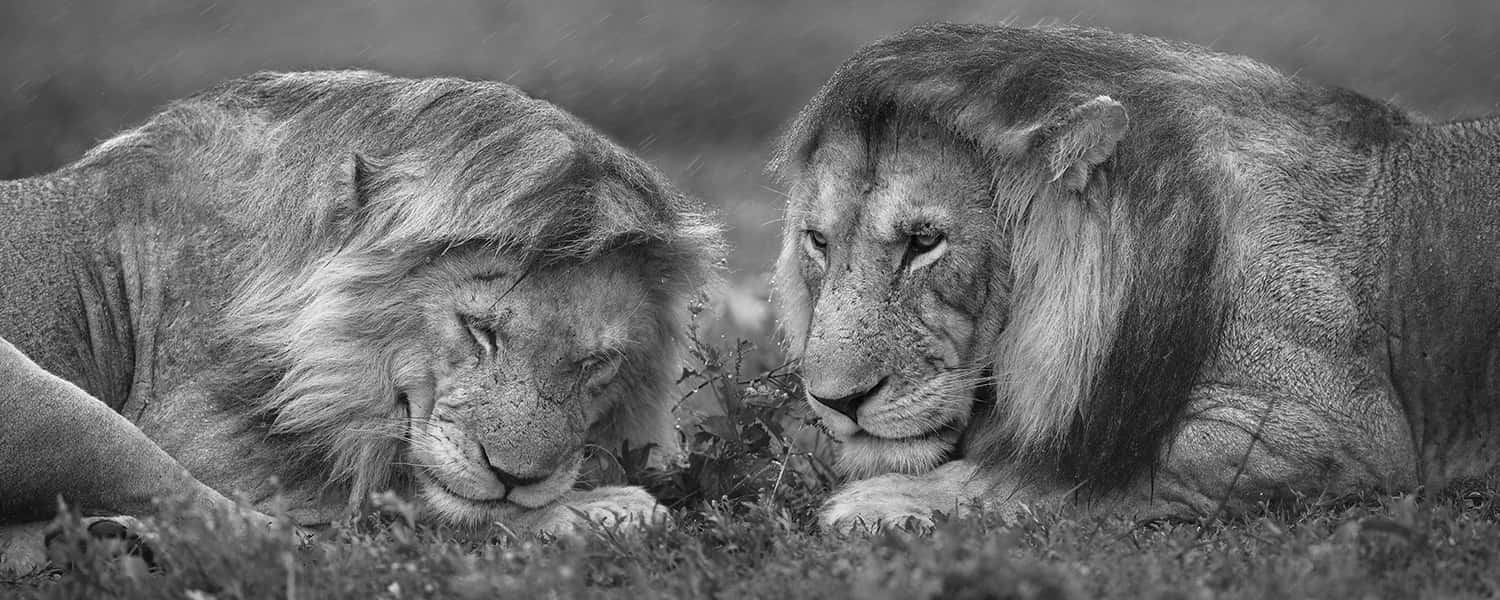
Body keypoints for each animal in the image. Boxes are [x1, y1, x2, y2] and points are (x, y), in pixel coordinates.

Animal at [0, 70, 722, 571]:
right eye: (478, 329)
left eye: (596, 364)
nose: (516, 479)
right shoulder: (205, 441)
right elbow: (405, 508)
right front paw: (604, 510)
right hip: (47, 405)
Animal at [770, 23, 1500, 530]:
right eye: (818, 242)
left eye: (925, 242)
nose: (836, 402)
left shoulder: (1346, 435)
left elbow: (1072, 469)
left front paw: (878, 501)